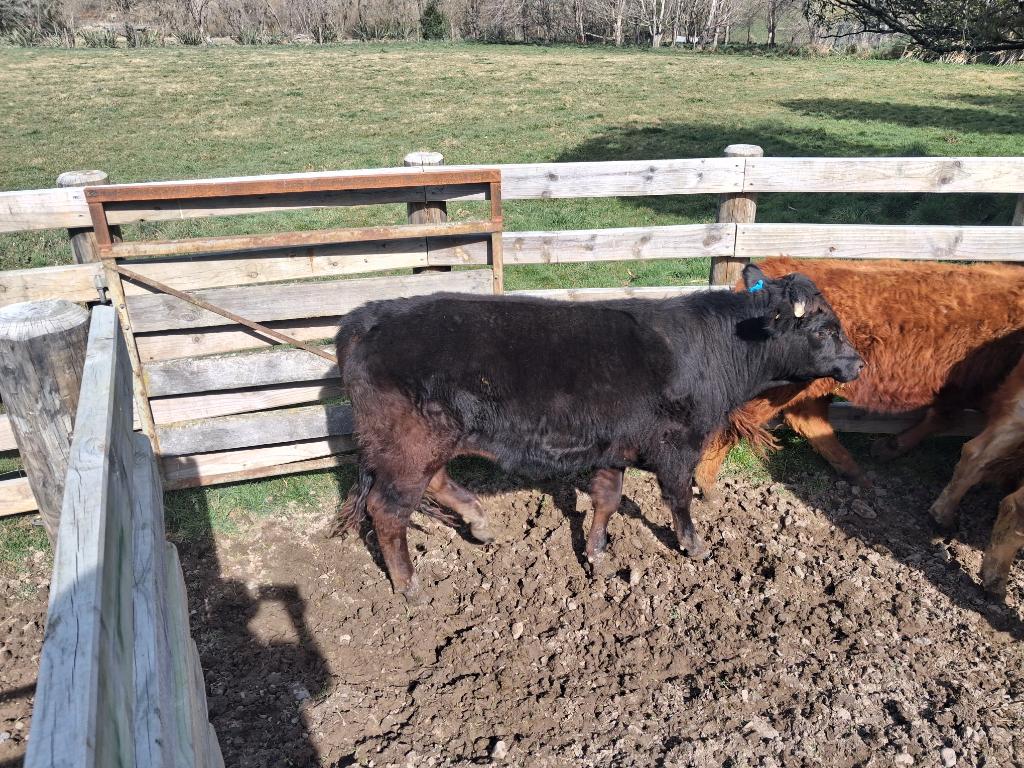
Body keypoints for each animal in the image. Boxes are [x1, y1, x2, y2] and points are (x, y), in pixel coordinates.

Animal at [331, 264, 862, 602]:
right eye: (823, 330)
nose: (856, 363)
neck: (714, 348)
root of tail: (371, 314)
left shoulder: (615, 445)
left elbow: (607, 498)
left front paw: (596, 553)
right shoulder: (677, 444)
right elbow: (677, 497)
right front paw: (693, 545)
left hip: (430, 440)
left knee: (435, 483)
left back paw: (480, 523)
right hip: (409, 443)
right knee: (388, 510)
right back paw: (409, 586)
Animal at [692, 258, 1024, 502]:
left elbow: (941, 418)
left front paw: (888, 448)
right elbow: (945, 419)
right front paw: (890, 448)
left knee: (808, 421)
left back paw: (857, 475)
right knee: (735, 420)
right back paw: (705, 482)